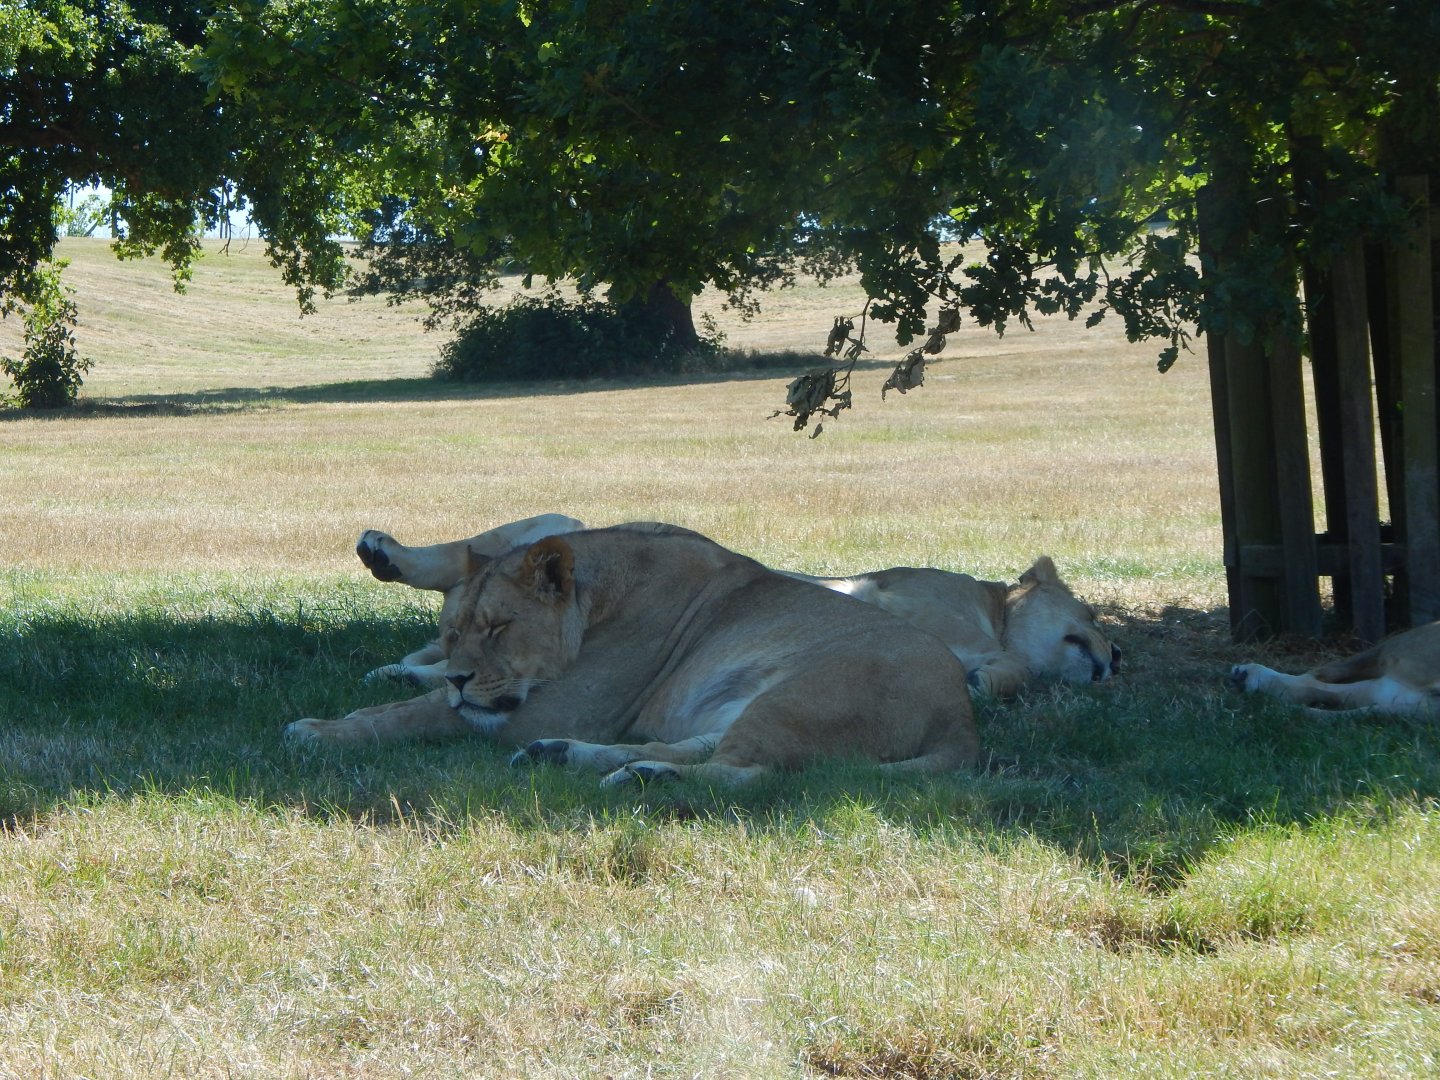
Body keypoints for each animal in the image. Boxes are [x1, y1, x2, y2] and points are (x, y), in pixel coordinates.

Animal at [287, 523, 981, 786]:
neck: (597, 599)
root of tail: (962, 718)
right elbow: (411, 701)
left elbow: (419, 712)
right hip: (747, 707)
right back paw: (570, 757)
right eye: (452, 632)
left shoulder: (554, 706)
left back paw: (648, 779)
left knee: (746, 774)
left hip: (800, 694)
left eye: (500, 626)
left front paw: (318, 731)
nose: (460, 675)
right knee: (699, 750)